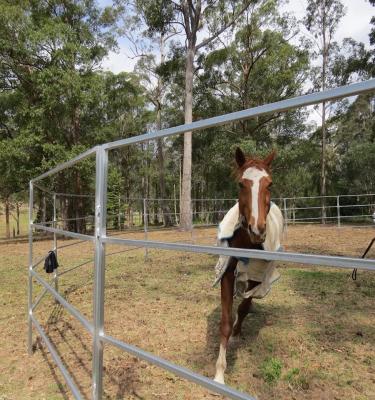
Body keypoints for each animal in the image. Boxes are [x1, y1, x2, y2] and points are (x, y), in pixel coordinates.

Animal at [213, 147, 284, 384]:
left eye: (269, 184)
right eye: (240, 184)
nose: (257, 229)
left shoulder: (257, 276)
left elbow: (243, 308)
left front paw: (236, 334)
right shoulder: (226, 273)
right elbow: (225, 322)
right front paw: (219, 374)